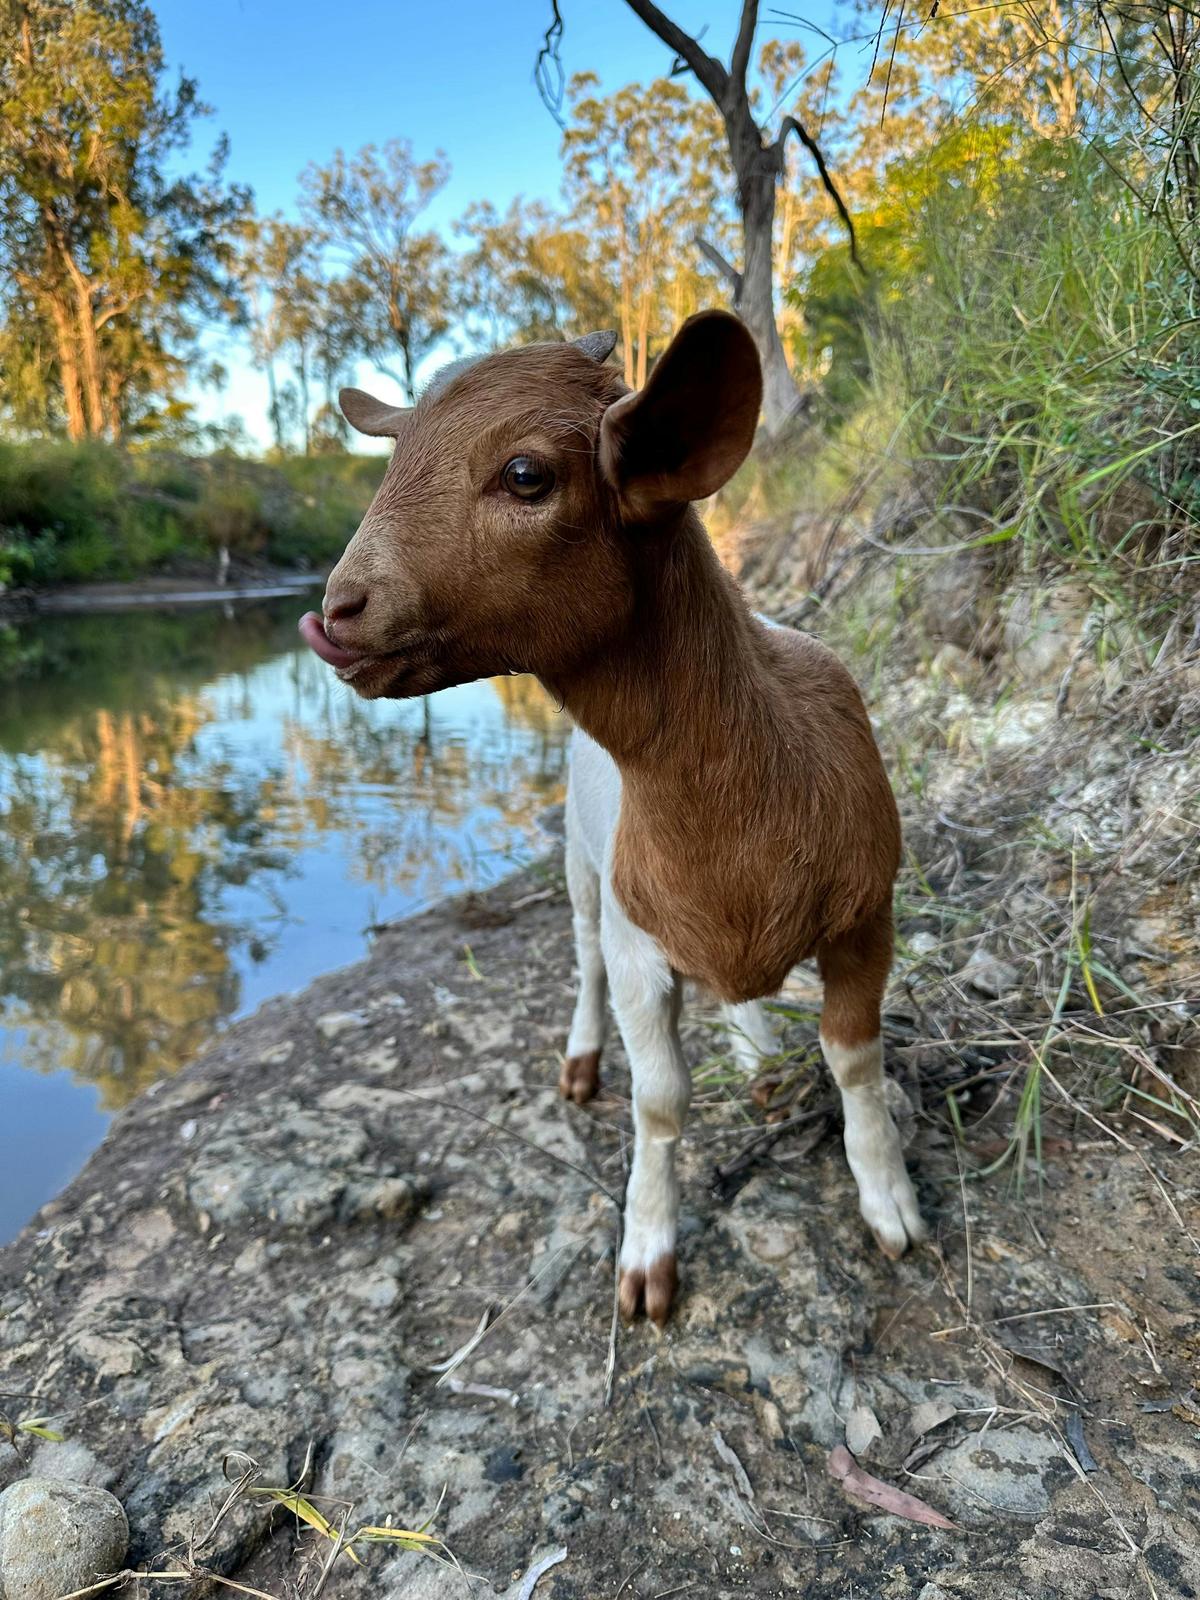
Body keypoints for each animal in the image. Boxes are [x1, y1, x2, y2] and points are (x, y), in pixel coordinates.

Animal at [299, 311, 926, 1327]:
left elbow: (856, 1060)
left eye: (525, 474)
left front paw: (889, 1201)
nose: (335, 613)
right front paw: (646, 1256)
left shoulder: (867, 915)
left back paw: (754, 1049)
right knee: (585, 958)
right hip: (582, 870)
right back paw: (584, 1060)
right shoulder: (641, 951)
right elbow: (660, 1101)